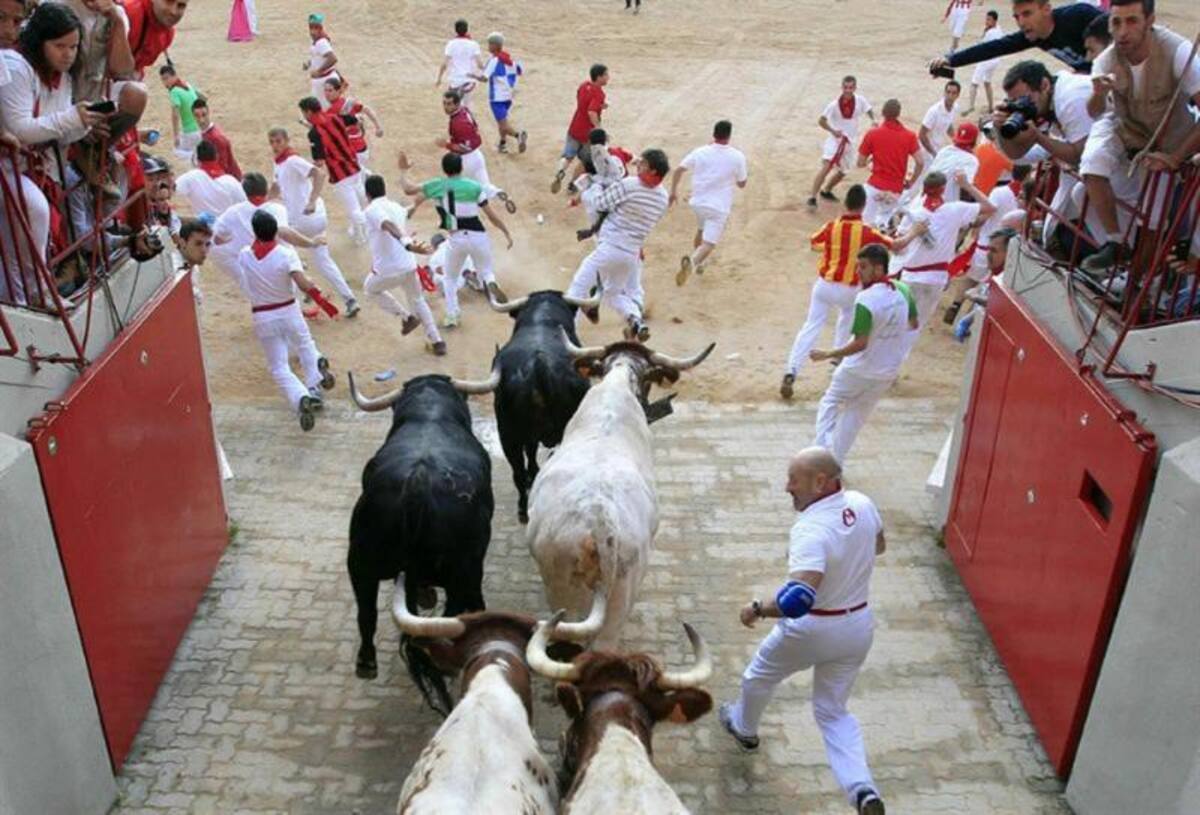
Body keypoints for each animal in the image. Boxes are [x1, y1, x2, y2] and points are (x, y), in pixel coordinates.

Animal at [347, 369, 500, 713]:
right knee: (448, 616)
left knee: (367, 613)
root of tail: (417, 481)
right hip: (460, 572)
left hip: (359, 563)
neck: (429, 414)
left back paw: (366, 663)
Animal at [486, 289, 599, 523]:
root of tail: (540, 365)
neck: (541, 320)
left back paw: (523, 508)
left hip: (508, 435)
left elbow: (530, 452)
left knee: (518, 472)